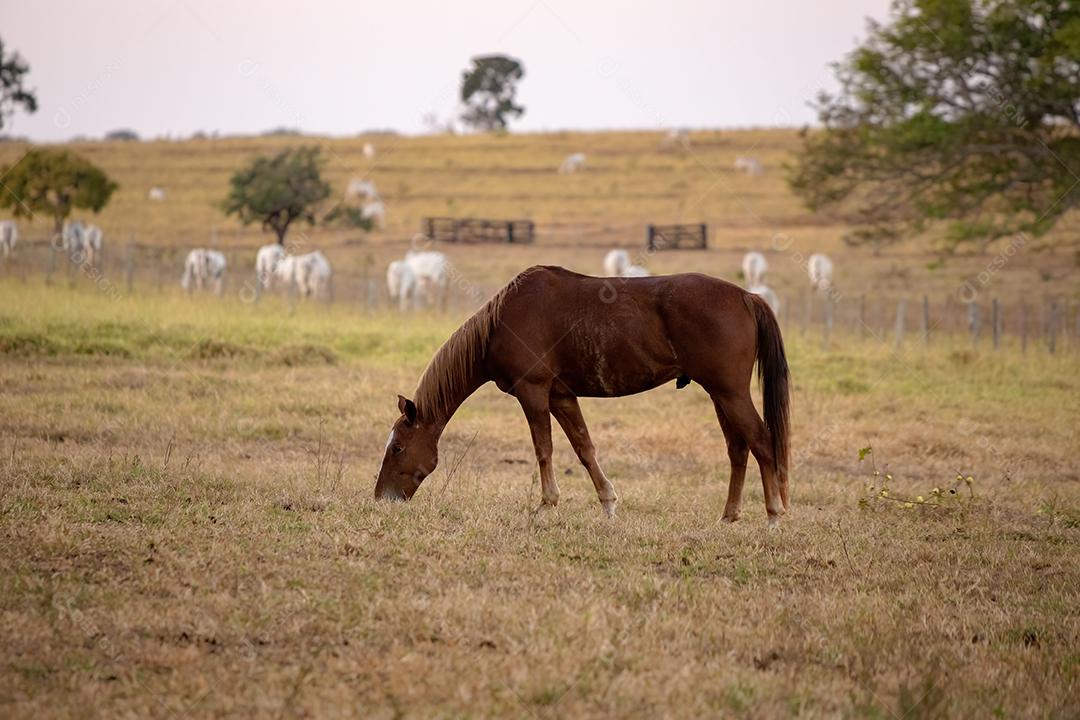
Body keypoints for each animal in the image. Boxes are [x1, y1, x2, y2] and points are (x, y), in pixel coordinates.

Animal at [375, 267, 790, 526]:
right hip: (721, 395)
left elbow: (544, 450)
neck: (501, 322)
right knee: (738, 449)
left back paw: (773, 514)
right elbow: (584, 448)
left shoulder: (534, 392)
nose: (382, 498)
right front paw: (608, 504)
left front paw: (546, 506)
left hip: (730, 393)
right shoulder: (562, 397)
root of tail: (746, 296)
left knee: (762, 441)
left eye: (397, 447)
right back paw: (729, 516)